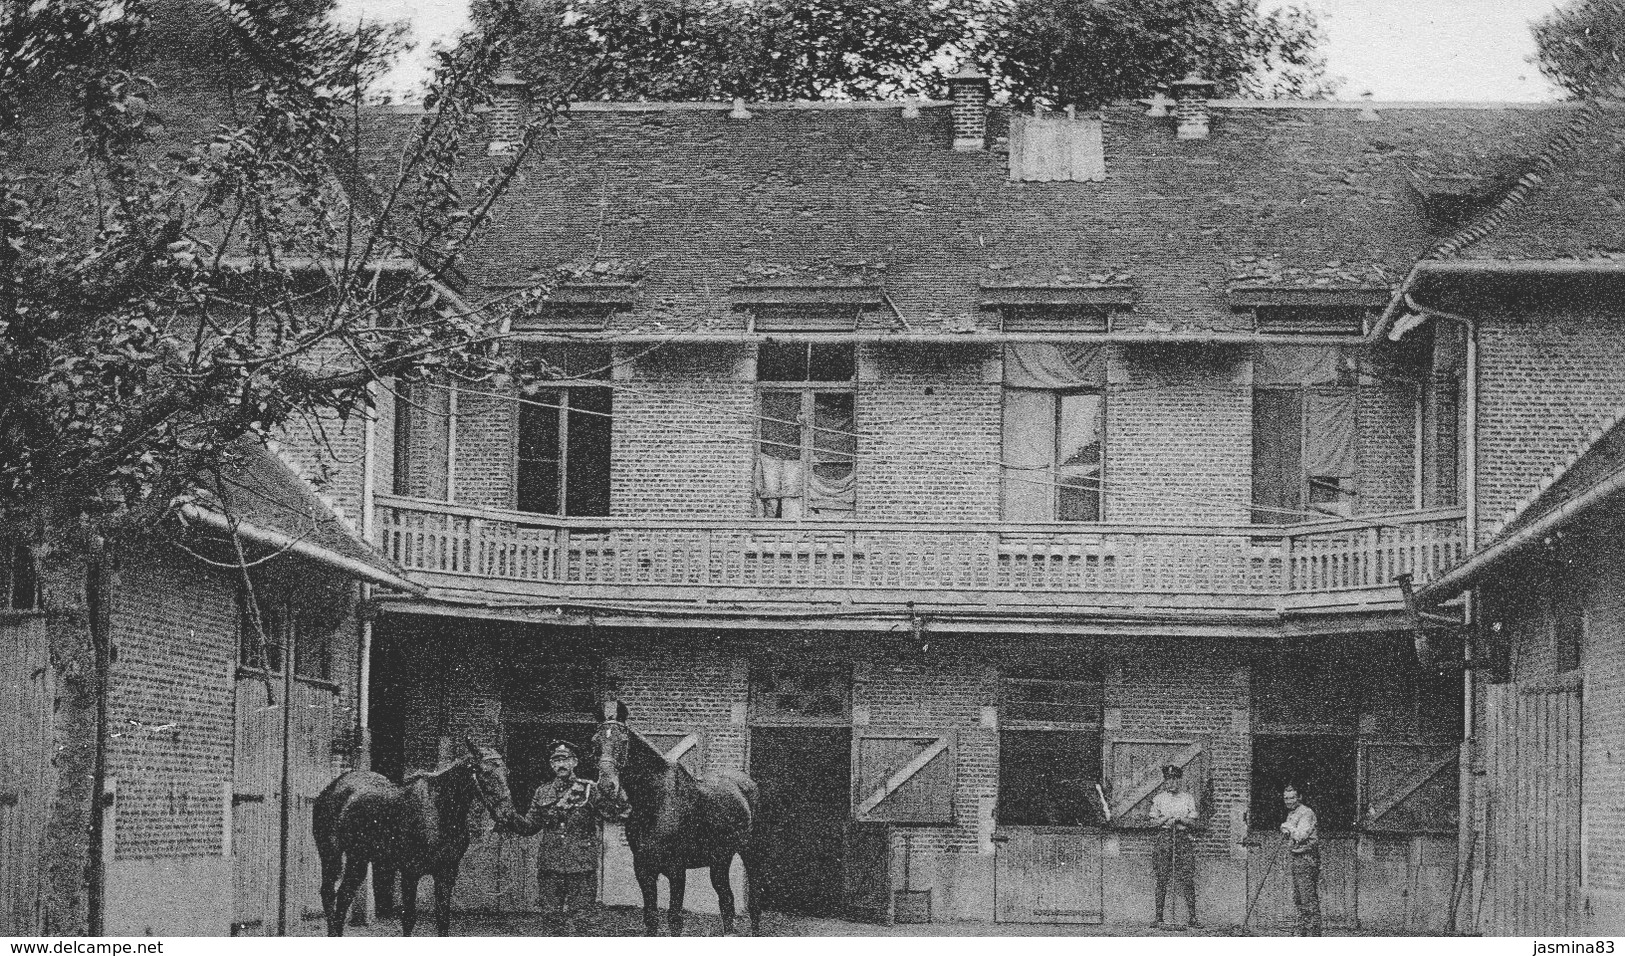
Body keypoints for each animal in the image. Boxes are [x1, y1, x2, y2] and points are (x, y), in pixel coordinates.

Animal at [310, 738, 513, 936]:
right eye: (485, 772)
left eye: (506, 772)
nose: (507, 815)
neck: (440, 811)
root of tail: (332, 788)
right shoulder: (410, 872)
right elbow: (408, 919)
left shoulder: (446, 873)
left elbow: (443, 919)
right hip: (331, 855)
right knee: (329, 893)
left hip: (358, 859)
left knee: (344, 896)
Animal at [594, 699, 763, 936]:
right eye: (595, 741)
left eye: (624, 741)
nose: (607, 786)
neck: (657, 801)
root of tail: (745, 782)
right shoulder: (643, 869)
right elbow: (651, 918)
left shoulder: (676, 870)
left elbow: (674, 919)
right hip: (720, 858)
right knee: (726, 899)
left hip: (749, 851)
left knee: (754, 900)